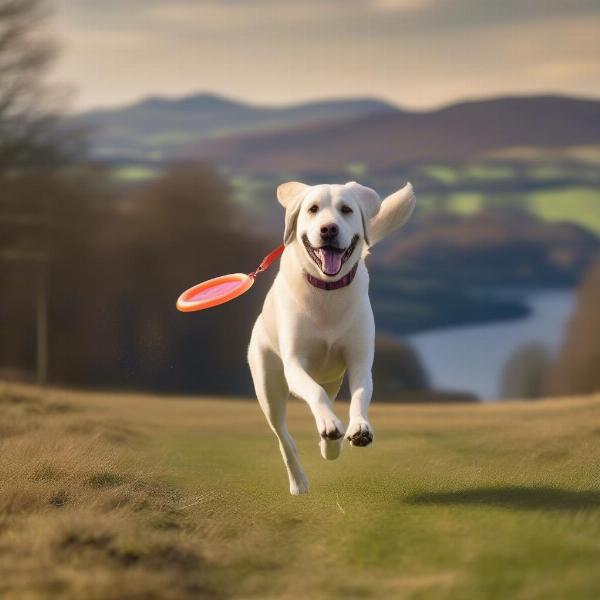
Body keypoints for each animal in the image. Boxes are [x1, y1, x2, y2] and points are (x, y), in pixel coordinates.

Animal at [246, 180, 414, 494]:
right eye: (313, 209)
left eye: (346, 210)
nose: (328, 229)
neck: (327, 288)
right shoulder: (294, 365)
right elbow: (315, 393)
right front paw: (330, 426)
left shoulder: (360, 364)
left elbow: (359, 397)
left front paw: (358, 429)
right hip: (268, 385)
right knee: (284, 437)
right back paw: (299, 480)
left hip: (333, 380)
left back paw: (331, 443)